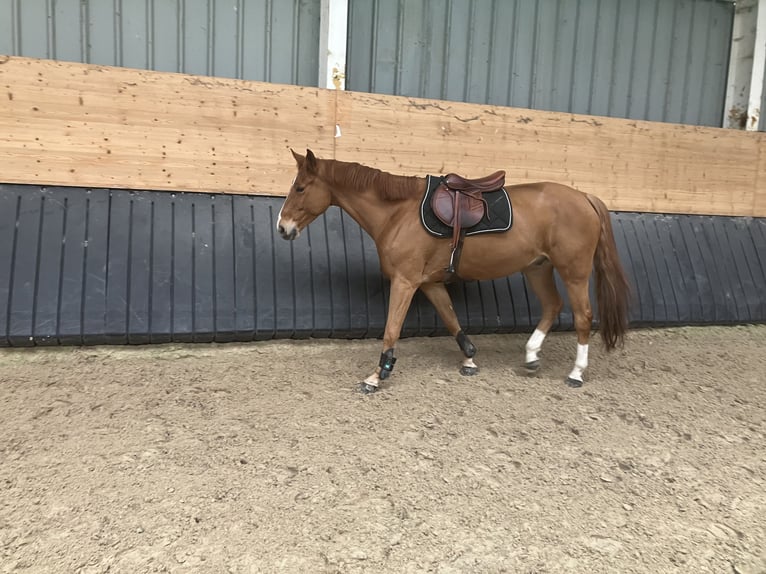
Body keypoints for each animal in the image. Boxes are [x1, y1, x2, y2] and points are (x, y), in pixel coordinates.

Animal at [276, 150, 632, 396]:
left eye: (301, 188)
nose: (282, 228)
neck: (399, 212)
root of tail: (584, 197)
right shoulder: (429, 283)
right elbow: (451, 320)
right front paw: (469, 360)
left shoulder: (406, 282)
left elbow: (392, 329)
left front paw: (377, 375)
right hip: (537, 268)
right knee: (552, 307)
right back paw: (531, 356)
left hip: (574, 272)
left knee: (583, 316)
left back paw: (576, 373)